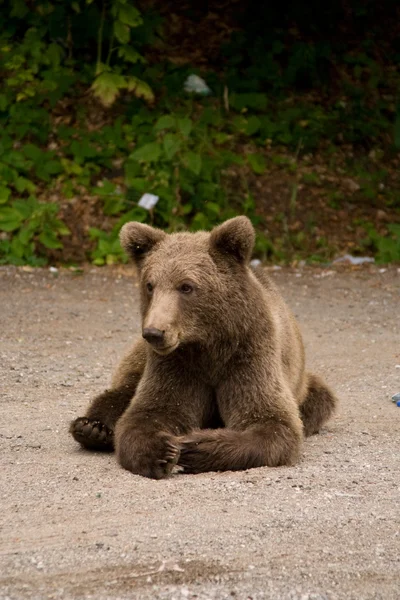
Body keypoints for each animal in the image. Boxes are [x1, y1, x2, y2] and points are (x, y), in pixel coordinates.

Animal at [69, 216, 338, 478]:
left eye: (186, 286)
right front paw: (163, 451)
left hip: (302, 384)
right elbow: (150, 412)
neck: (209, 344)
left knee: (319, 400)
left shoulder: (249, 354)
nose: (154, 332)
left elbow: (270, 420)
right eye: (150, 285)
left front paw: (195, 446)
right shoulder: (177, 364)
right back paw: (92, 428)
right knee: (125, 387)